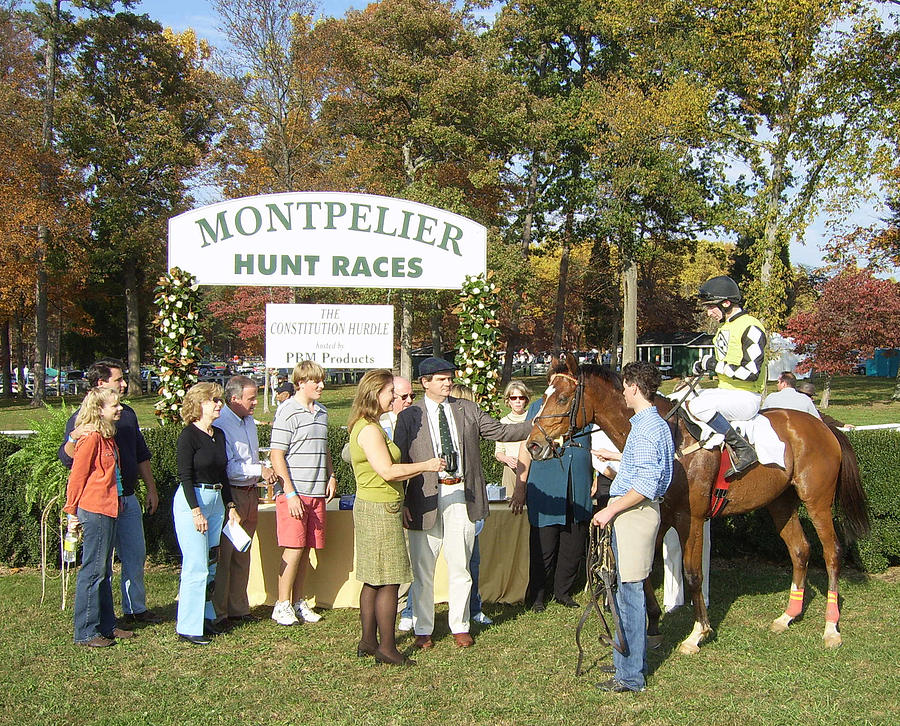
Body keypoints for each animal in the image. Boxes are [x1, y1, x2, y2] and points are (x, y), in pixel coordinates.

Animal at [524, 356, 868, 656]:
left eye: (563, 398)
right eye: (545, 396)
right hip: (780, 504)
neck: (670, 436)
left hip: (817, 501)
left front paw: (698, 632)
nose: (533, 445)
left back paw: (831, 627)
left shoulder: (692, 518)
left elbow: (692, 574)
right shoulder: (661, 515)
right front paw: (654, 627)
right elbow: (645, 570)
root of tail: (822, 425)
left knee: (832, 553)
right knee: (800, 550)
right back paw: (788, 616)